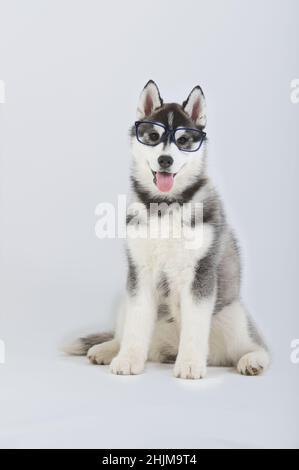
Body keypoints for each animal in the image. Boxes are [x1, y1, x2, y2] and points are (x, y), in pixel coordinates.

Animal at [66, 81, 272, 380]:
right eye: (153, 136)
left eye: (183, 141)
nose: (165, 160)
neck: (166, 207)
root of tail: (168, 348)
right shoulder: (139, 272)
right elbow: (136, 324)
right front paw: (128, 358)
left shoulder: (200, 273)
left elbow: (195, 326)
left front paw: (190, 364)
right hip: (124, 299)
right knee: (123, 332)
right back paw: (108, 349)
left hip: (233, 315)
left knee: (253, 345)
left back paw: (252, 360)